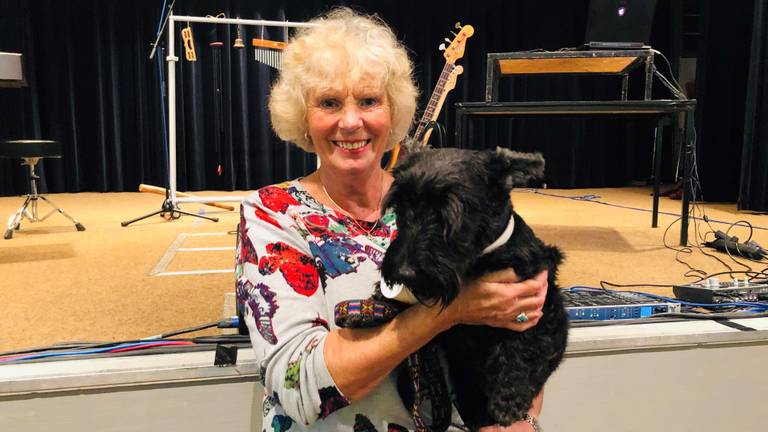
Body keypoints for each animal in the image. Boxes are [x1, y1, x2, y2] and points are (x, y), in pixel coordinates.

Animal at [380, 148, 568, 428]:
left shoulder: (542, 308)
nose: (403, 272)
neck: (480, 259)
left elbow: (519, 347)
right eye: (400, 205)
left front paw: (508, 398)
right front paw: (376, 301)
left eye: (451, 212)